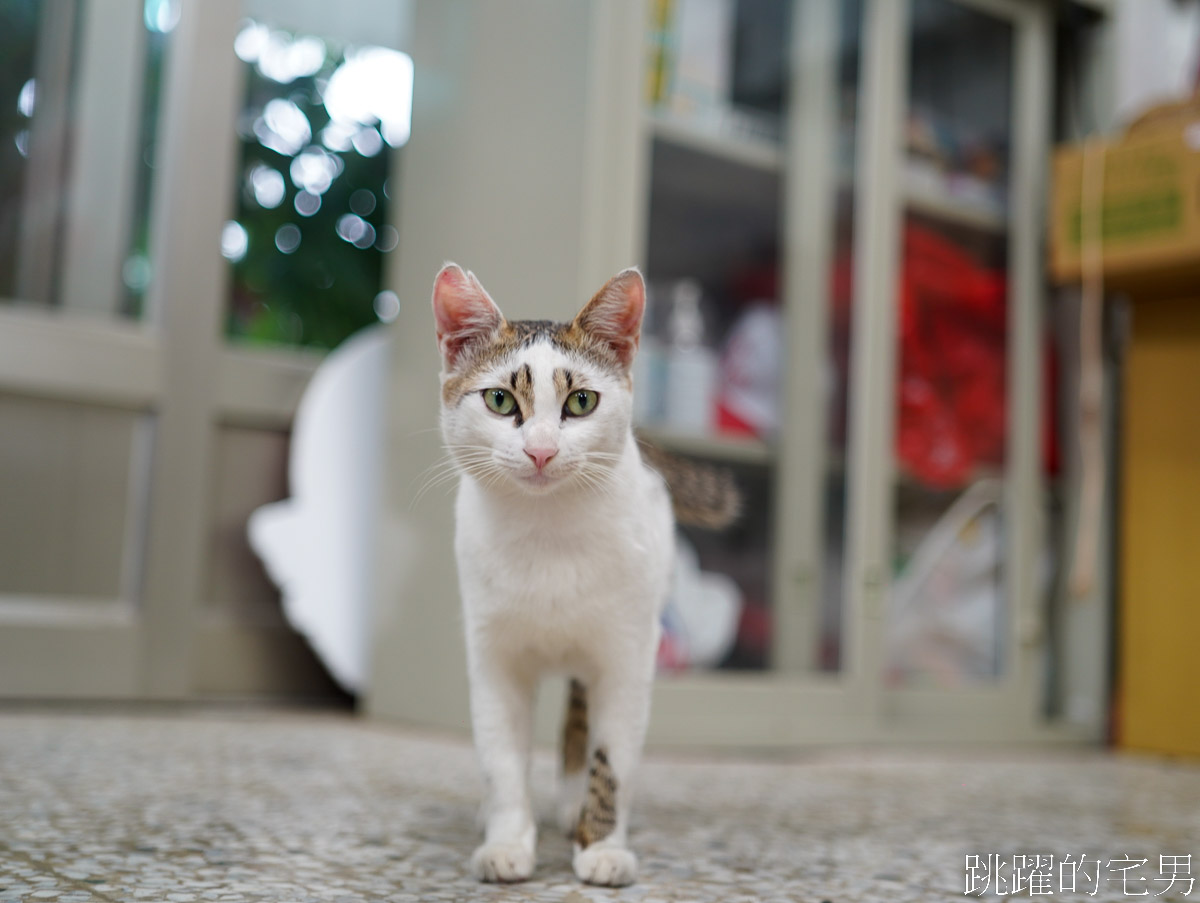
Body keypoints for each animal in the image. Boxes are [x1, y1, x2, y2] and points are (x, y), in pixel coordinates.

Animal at [427, 262, 734, 888]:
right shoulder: (492, 653)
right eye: (500, 400)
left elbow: (611, 756)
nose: (542, 451)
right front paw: (506, 839)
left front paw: (601, 846)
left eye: (582, 401)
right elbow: (501, 757)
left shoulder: (627, 655)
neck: (548, 536)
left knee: (578, 715)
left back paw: (573, 807)